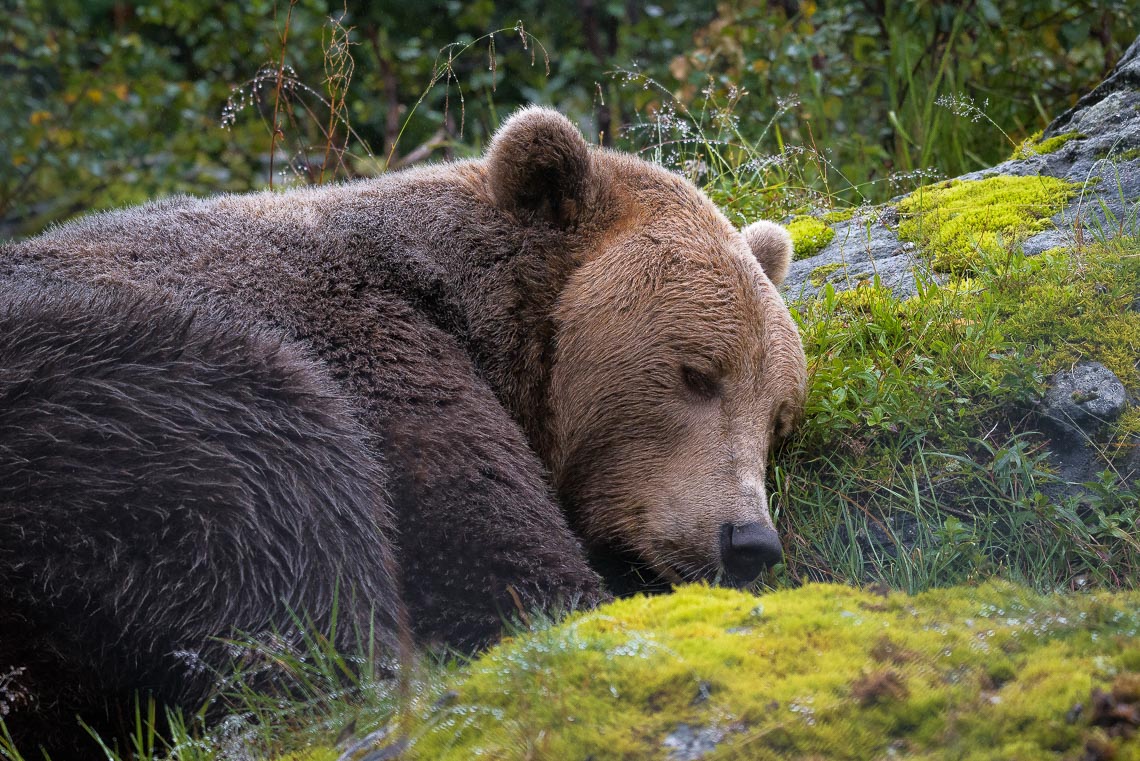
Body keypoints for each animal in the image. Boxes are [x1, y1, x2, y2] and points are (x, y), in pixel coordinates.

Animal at [0, 107, 807, 756]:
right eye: (696, 373)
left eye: (779, 415)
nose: (749, 542)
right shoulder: (379, 359)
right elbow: (494, 554)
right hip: (123, 398)